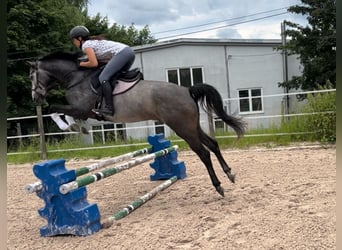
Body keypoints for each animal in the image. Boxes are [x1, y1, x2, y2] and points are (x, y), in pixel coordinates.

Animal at [28, 50, 246, 196]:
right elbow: (60, 111)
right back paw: (229, 174)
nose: (35, 97)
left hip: (182, 128)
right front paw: (75, 127)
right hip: (192, 126)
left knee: (204, 153)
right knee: (213, 144)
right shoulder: (81, 110)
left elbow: (54, 109)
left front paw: (70, 126)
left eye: (32, 76)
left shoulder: (82, 108)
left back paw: (218, 186)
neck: (77, 78)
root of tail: (187, 90)